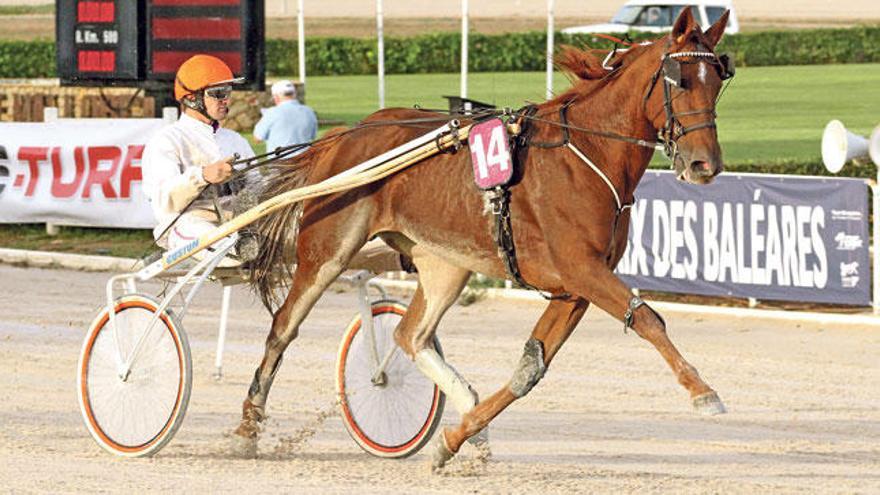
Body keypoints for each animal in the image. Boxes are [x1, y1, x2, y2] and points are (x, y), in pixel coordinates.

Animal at [234, 8, 728, 468]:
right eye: (680, 80)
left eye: (720, 79)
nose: (705, 164)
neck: (587, 154)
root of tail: (345, 134)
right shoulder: (580, 269)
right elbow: (648, 319)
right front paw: (703, 391)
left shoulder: (574, 287)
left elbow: (530, 369)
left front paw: (454, 438)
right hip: (327, 251)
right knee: (283, 327)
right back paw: (247, 429)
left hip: (444, 263)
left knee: (411, 335)